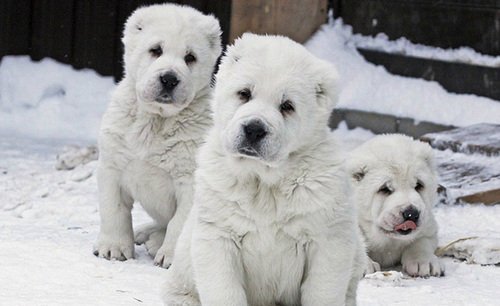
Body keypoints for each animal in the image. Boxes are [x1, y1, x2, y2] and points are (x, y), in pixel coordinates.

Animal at [93, 4, 222, 268]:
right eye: (156, 50)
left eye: (190, 57)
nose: (169, 79)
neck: (156, 121)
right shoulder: (113, 163)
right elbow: (113, 208)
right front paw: (113, 248)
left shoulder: (191, 179)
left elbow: (180, 223)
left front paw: (170, 257)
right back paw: (144, 233)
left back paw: (154, 242)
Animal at [164, 33, 364, 306]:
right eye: (244, 93)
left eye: (287, 105)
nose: (254, 129)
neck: (264, 182)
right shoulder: (218, 234)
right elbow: (224, 289)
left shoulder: (328, 237)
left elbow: (322, 288)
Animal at [348, 134, 446, 278]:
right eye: (384, 189)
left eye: (418, 185)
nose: (411, 213)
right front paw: (363, 266)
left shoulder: (427, 221)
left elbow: (422, 239)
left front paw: (424, 262)